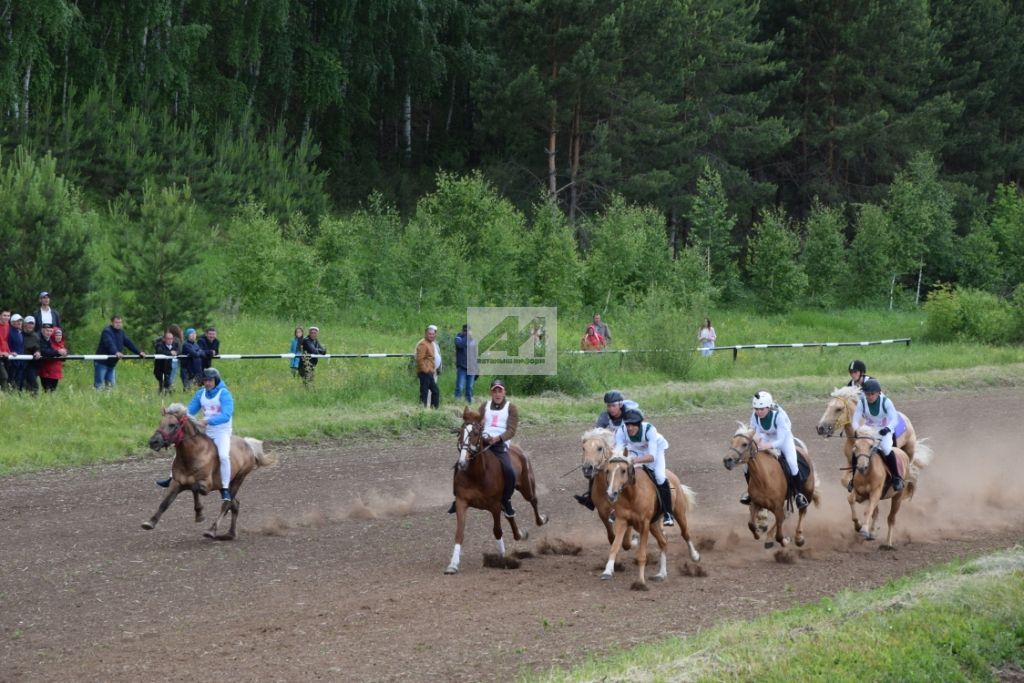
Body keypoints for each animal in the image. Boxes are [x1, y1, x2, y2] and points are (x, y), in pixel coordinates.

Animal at [142, 403, 276, 540]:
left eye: (172, 425)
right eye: (160, 422)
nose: (153, 442)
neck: (192, 455)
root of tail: (248, 444)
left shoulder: (206, 485)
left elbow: (194, 488)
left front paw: (200, 513)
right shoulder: (177, 482)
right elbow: (165, 502)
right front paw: (150, 522)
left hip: (238, 479)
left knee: (226, 504)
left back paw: (212, 530)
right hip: (224, 486)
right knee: (235, 504)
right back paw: (230, 533)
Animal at [444, 409, 548, 573]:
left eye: (475, 433)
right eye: (460, 433)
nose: (462, 463)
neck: (477, 475)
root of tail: (517, 448)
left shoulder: (494, 505)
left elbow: (497, 530)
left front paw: (501, 558)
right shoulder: (461, 502)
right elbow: (459, 533)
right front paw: (453, 565)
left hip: (526, 487)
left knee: (533, 501)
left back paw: (541, 520)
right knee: (510, 514)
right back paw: (520, 534)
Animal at [598, 450, 700, 589]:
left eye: (623, 470)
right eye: (607, 471)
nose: (611, 493)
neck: (632, 495)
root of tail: (672, 476)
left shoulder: (644, 524)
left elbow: (642, 555)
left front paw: (640, 582)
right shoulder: (622, 521)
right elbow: (615, 546)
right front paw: (607, 571)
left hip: (679, 513)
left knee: (685, 533)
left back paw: (694, 555)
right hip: (654, 524)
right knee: (663, 542)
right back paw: (661, 574)